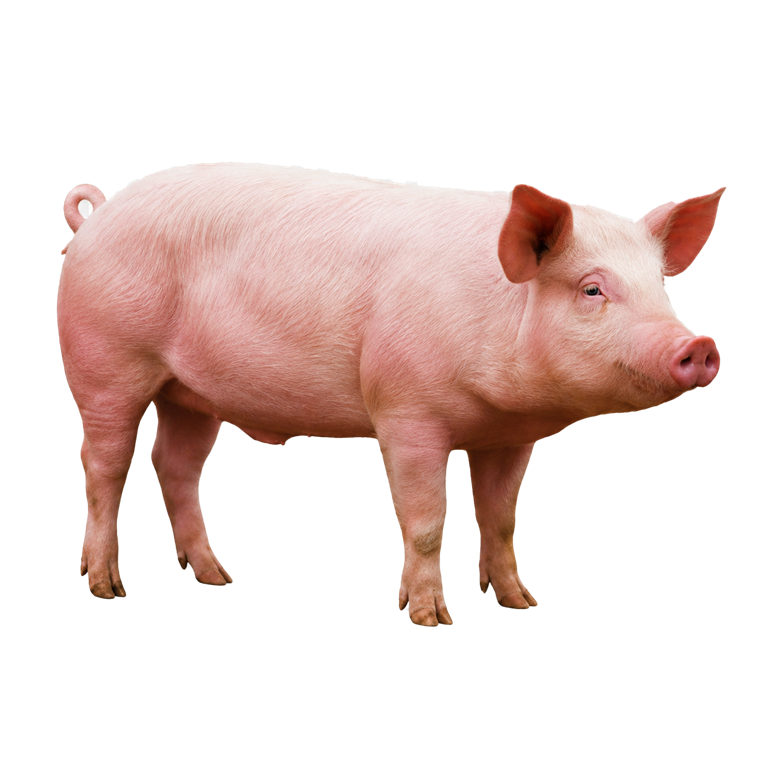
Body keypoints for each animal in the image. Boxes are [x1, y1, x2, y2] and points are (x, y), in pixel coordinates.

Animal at [58, 163, 723, 624]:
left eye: (661, 289)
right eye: (591, 289)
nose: (698, 345)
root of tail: (99, 214)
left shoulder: (509, 436)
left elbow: (502, 518)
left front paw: (521, 603)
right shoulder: (405, 411)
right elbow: (426, 519)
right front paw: (430, 617)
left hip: (189, 393)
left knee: (173, 464)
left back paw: (217, 578)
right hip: (105, 363)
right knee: (104, 465)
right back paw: (106, 587)